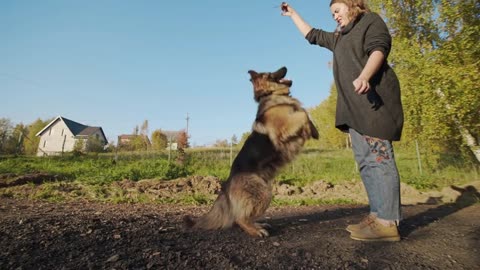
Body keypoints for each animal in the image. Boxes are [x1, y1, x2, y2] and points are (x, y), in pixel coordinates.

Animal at [185, 67, 318, 236]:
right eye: (270, 74)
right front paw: (310, 127)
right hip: (264, 193)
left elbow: (304, 113)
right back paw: (256, 231)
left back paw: (259, 225)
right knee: (239, 219)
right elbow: (303, 113)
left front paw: (313, 131)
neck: (271, 95)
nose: (285, 67)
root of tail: (228, 182)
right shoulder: (284, 127)